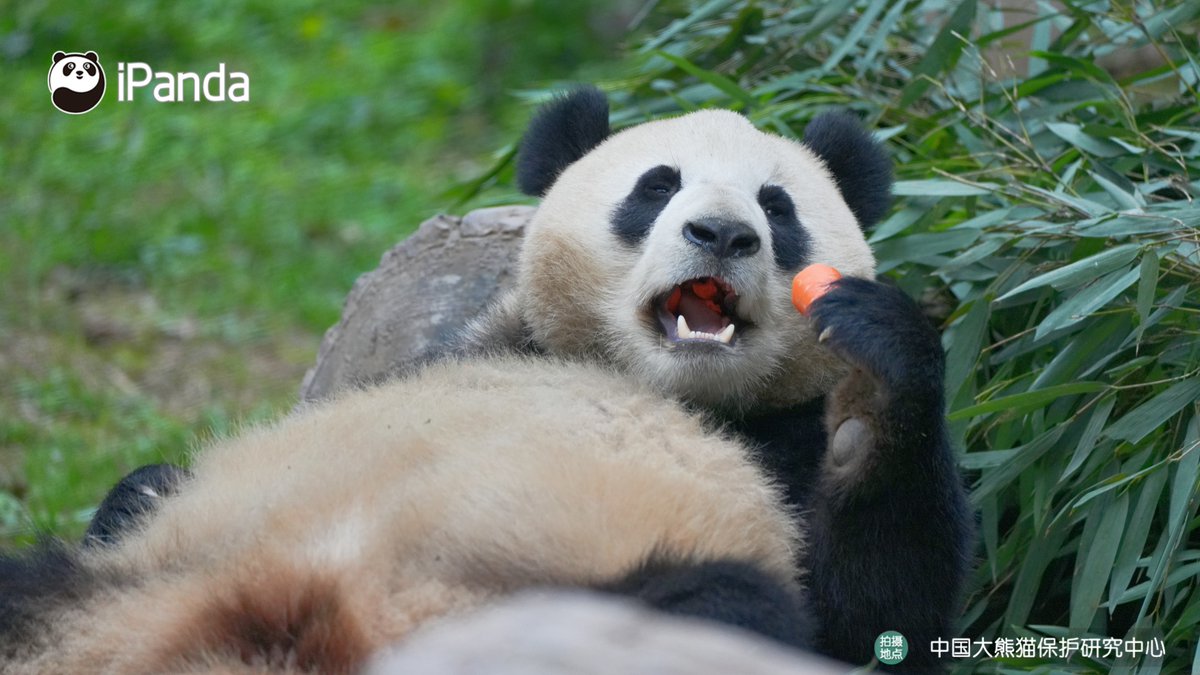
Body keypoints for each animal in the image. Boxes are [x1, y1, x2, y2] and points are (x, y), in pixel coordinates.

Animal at [0, 87, 972, 672]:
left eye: (778, 206)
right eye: (656, 187)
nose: (723, 234)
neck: (670, 386)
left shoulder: (784, 444)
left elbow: (873, 614)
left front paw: (875, 368)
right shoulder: (482, 349)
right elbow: (144, 486)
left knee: (726, 602)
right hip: (137, 579)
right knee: (41, 574)